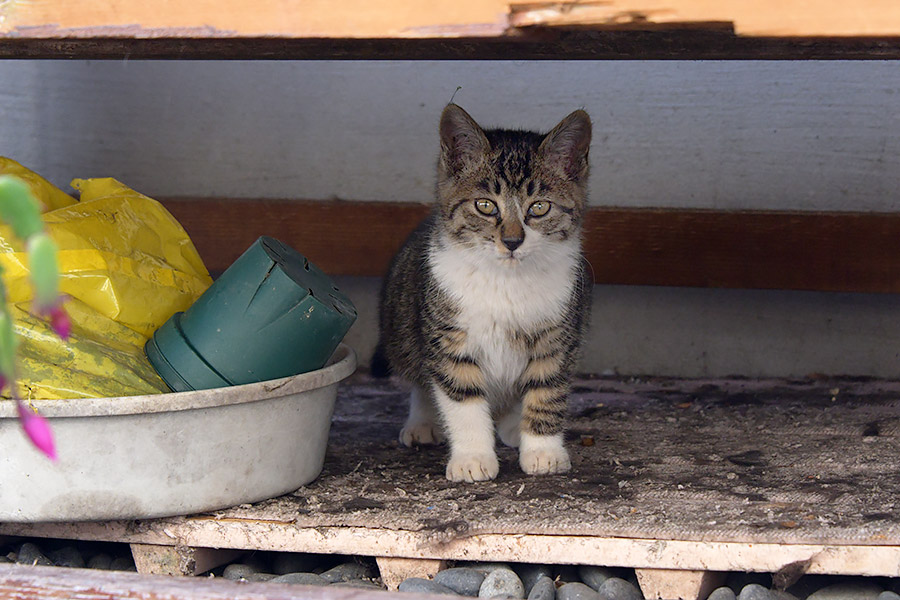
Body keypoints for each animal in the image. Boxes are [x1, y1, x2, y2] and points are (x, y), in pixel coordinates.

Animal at [372, 105, 592, 482]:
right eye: (485, 205)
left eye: (539, 207)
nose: (513, 241)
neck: (506, 280)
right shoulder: (448, 335)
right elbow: (461, 396)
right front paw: (473, 456)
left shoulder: (558, 334)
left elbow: (547, 388)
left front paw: (543, 450)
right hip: (402, 322)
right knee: (419, 374)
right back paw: (423, 421)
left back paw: (511, 424)